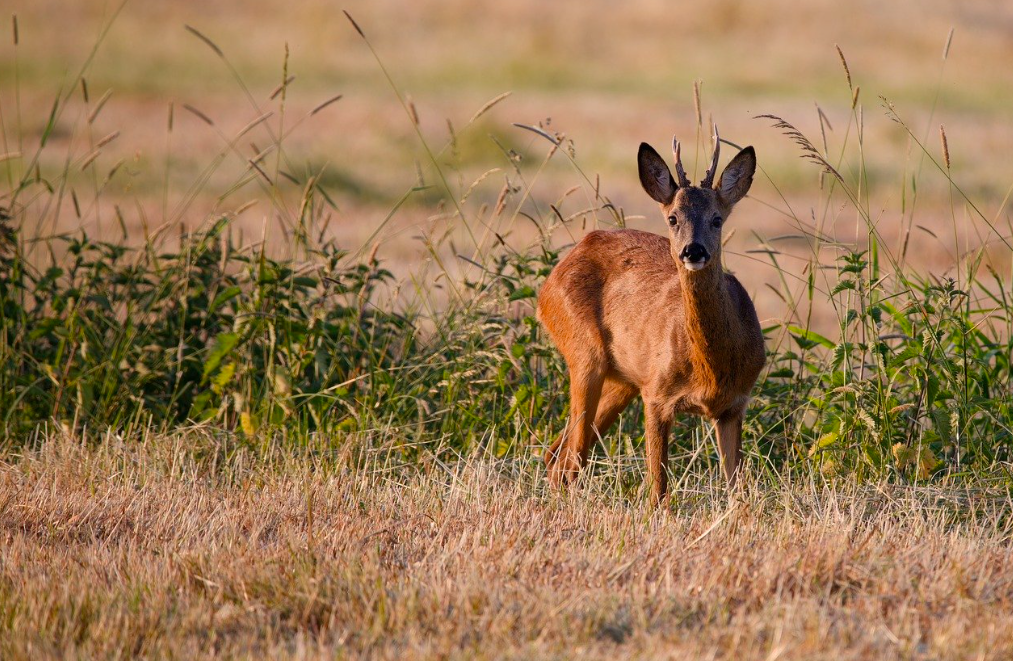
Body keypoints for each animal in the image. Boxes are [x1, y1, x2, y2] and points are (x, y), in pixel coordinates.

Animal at [538, 127, 761, 506]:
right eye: (673, 218)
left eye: (717, 219)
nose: (693, 251)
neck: (711, 368)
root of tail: (549, 281)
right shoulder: (656, 394)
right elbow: (658, 486)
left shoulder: (735, 404)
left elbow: (738, 489)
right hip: (583, 353)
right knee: (572, 457)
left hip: (622, 380)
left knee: (558, 454)